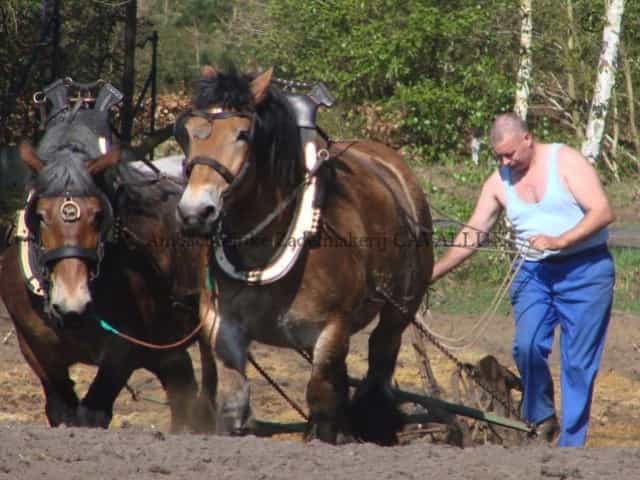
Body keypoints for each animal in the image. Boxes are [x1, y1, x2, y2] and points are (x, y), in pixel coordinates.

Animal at [0, 89, 205, 432]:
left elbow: (93, 413)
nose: (72, 304)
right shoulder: (37, 351)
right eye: (39, 216)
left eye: (98, 216)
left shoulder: (124, 350)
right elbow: (62, 411)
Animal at [175, 65, 436, 444]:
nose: (195, 213)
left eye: (242, 134)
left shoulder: (332, 327)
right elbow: (234, 402)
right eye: (187, 134)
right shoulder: (221, 324)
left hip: (402, 306)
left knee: (381, 351)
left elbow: (321, 400)